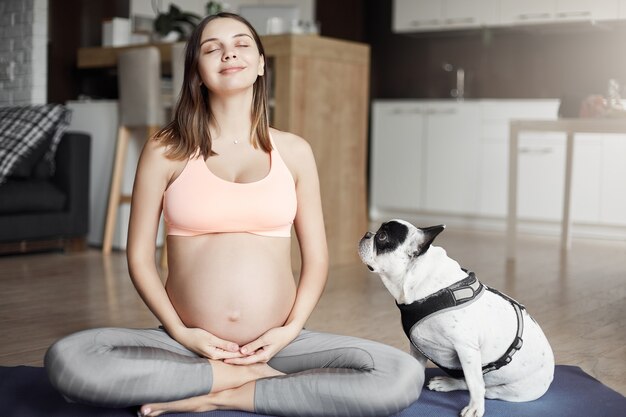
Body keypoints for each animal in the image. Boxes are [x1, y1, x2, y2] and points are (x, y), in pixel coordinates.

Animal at [358, 219, 552, 414]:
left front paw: (475, 408)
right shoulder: (416, 347)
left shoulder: (467, 349)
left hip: (510, 389)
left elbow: (474, 384)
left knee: (482, 387)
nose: (367, 234)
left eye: (382, 237)